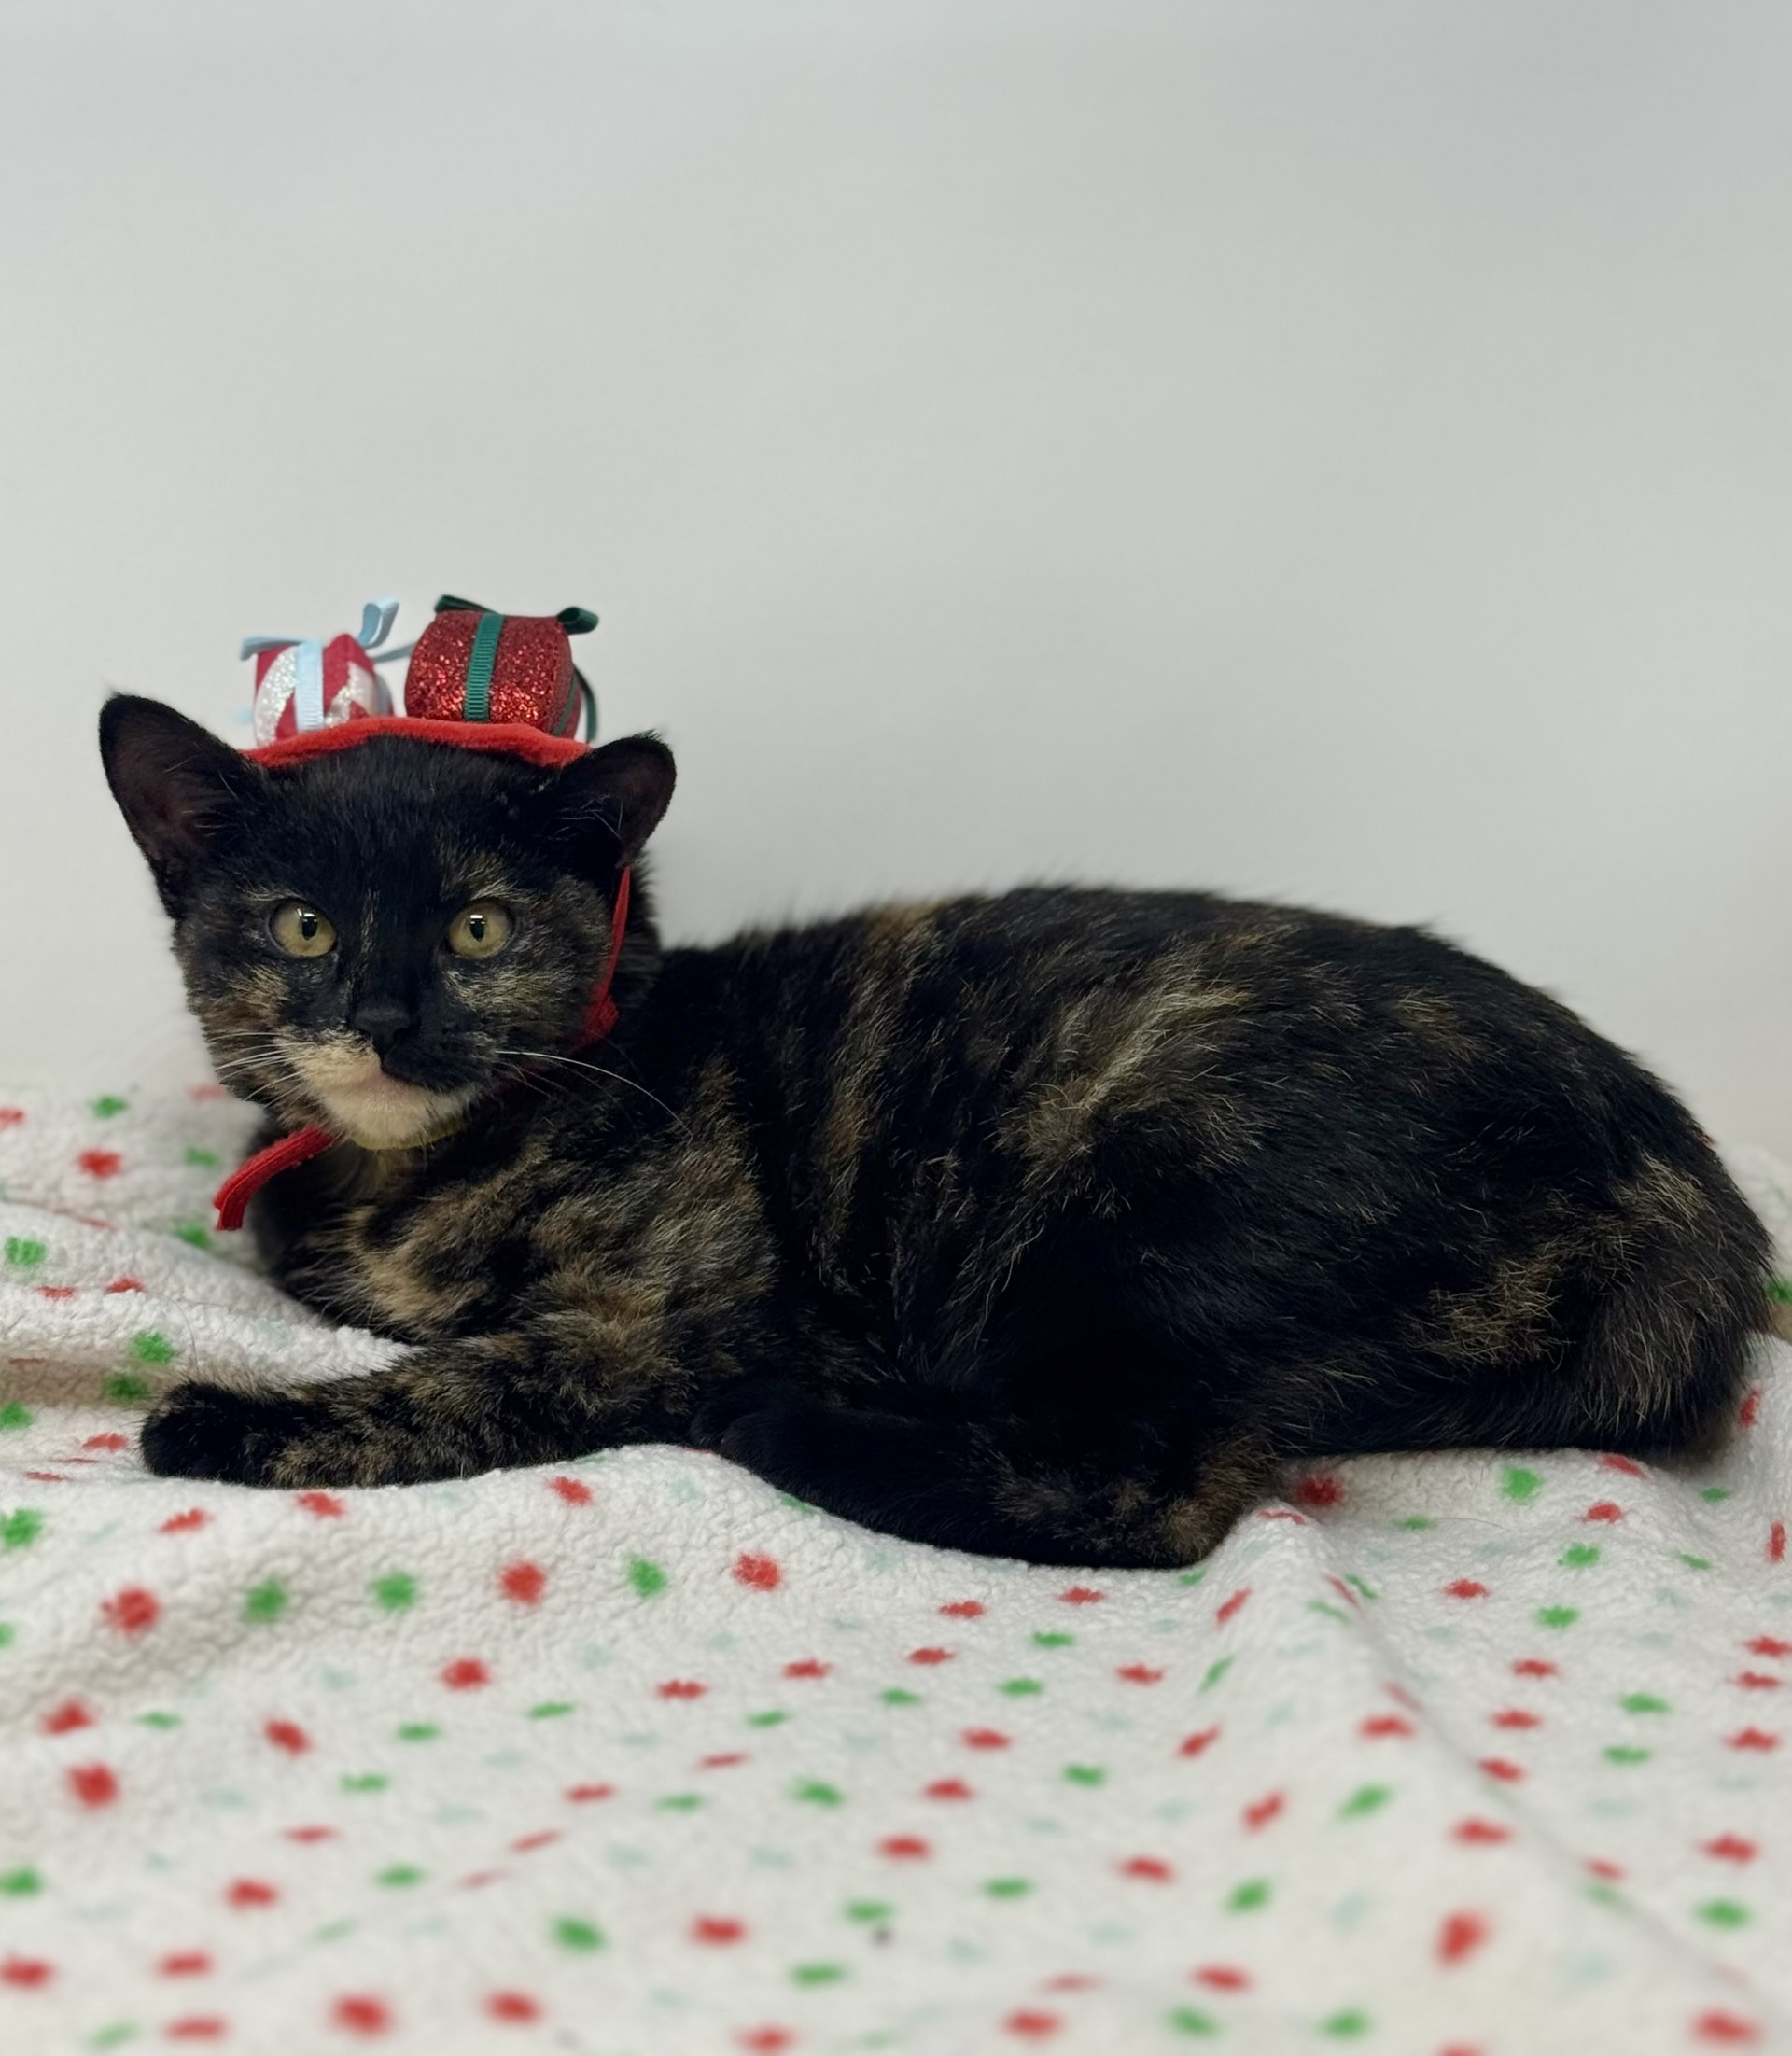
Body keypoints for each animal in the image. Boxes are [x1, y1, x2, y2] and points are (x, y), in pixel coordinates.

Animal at [99, 693, 1770, 1566]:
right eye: (305, 925)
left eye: (478, 926)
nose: (386, 1013)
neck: (400, 1172)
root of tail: (1693, 1202)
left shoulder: (671, 1318)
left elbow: (464, 1381)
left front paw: (233, 1420)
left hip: (1138, 1189)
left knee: (1169, 1488)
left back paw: (800, 1428)